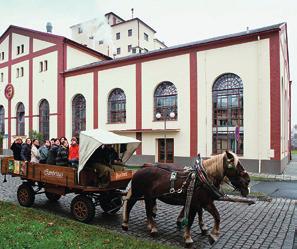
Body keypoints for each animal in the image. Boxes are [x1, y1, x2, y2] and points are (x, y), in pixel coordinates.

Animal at [121, 151, 249, 246]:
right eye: (234, 165)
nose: (248, 181)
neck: (201, 180)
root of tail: (141, 169)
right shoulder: (194, 204)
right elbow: (191, 220)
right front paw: (188, 238)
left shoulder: (206, 202)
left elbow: (217, 216)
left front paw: (213, 235)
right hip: (138, 193)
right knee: (130, 204)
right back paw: (126, 224)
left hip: (150, 197)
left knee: (148, 210)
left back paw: (152, 227)